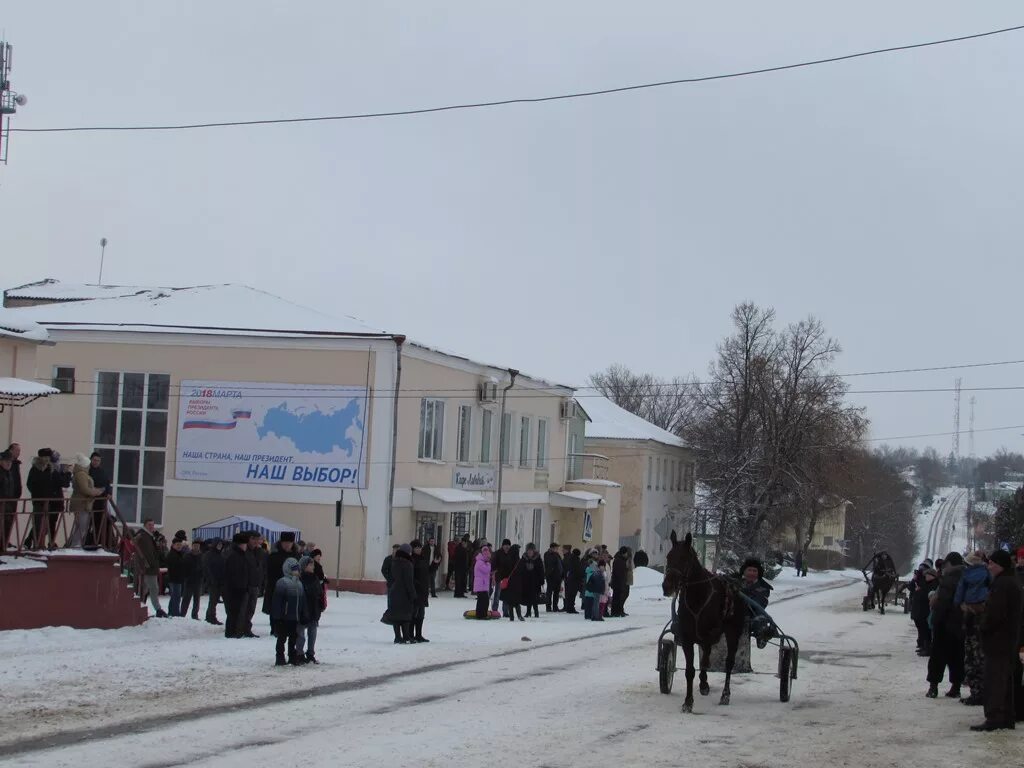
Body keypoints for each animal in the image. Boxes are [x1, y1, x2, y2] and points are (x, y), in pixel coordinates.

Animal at [663, 532, 745, 712]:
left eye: (684, 558)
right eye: (668, 557)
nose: (667, 586)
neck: (698, 598)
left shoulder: (710, 634)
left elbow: (706, 658)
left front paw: (703, 685)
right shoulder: (687, 637)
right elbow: (690, 670)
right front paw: (688, 701)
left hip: (733, 632)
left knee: (729, 662)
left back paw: (725, 694)